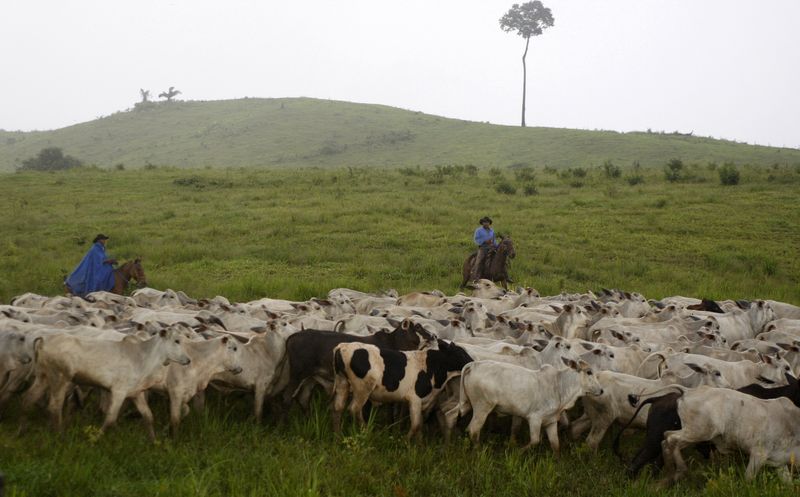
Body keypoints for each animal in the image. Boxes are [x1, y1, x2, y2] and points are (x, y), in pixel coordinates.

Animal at [332, 338, 476, 438]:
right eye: (460, 353)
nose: (472, 361)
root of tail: (342, 346)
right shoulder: (414, 399)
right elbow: (416, 425)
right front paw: (405, 441)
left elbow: (419, 424)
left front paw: (419, 445)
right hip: (362, 389)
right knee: (354, 409)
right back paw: (365, 431)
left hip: (342, 382)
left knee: (338, 407)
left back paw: (338, 436)